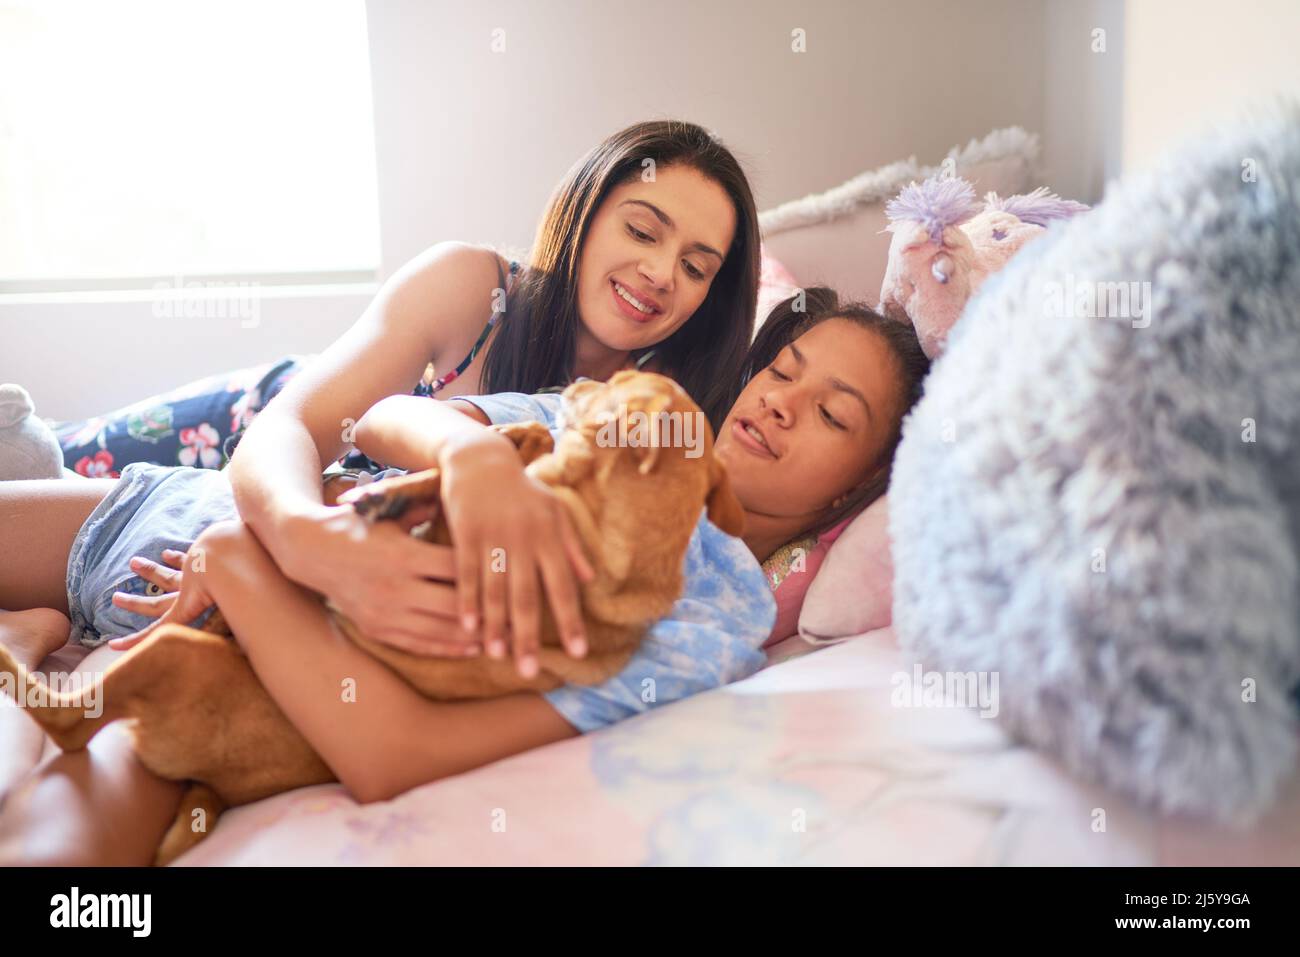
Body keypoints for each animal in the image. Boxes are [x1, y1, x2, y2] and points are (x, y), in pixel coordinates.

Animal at [0, 369, 743, 863]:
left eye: (612, 384)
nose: (574, 378)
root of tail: (213, 789)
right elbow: (507, 450)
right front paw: (446, 467)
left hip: (170, 658)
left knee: (68, 723)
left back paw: (17, 657)